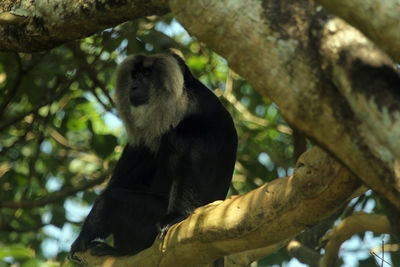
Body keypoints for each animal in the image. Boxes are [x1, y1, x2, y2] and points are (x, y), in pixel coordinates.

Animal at [69, 52, 238, 264]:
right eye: (135, 75)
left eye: (147, 74)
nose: (134, 86)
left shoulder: (196, 118)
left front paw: (176, 216)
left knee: (113, 199)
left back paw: (118, 249)